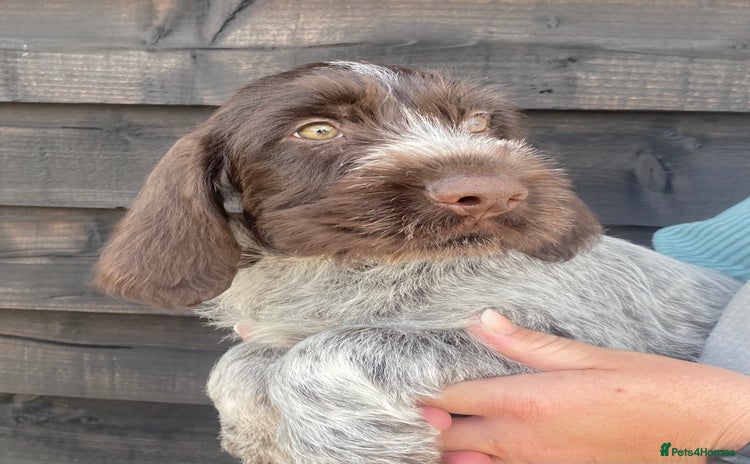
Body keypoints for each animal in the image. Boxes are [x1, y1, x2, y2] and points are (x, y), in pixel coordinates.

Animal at [94, 61, 741, 464]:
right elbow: (239, 363)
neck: (363, 271)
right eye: (317, 131)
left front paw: (345, 448)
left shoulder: (554, 336)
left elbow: (328, 352)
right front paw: (254, 431)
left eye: (478, 124)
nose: (491, 192)